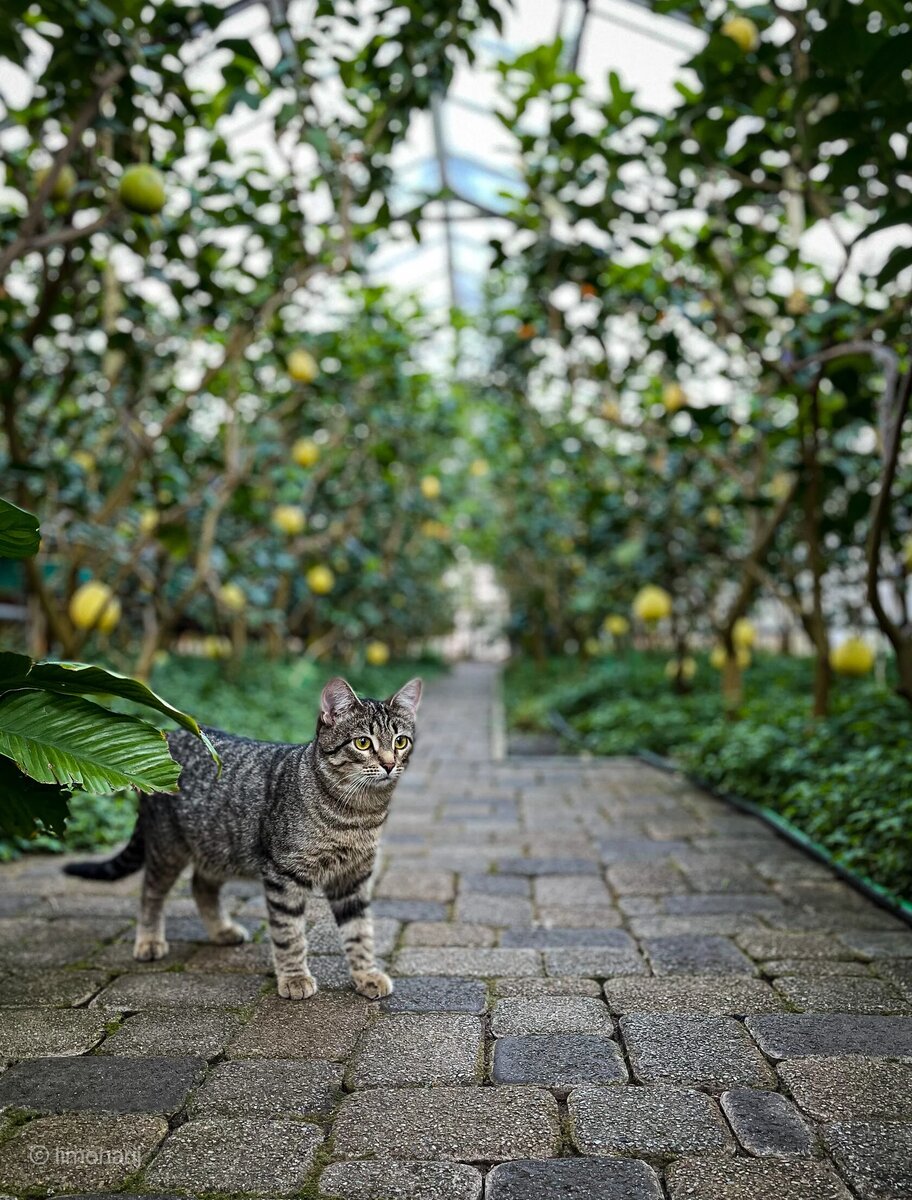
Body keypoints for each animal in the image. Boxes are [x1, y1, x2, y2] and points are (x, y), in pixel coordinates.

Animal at [66, 676, 422, 1003]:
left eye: (400, 742)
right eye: (362, 743)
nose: (389, 763)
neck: (357, 815)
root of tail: (169, 734)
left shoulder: (353, 877)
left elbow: (360, 932)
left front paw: (366, 974)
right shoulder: (284, 874)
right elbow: (289, 933)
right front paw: (295, 977)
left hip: (218, 846)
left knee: (200, 885)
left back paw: (221, 930)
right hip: (169, 847)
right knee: (151, 891)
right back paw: (150, 940)